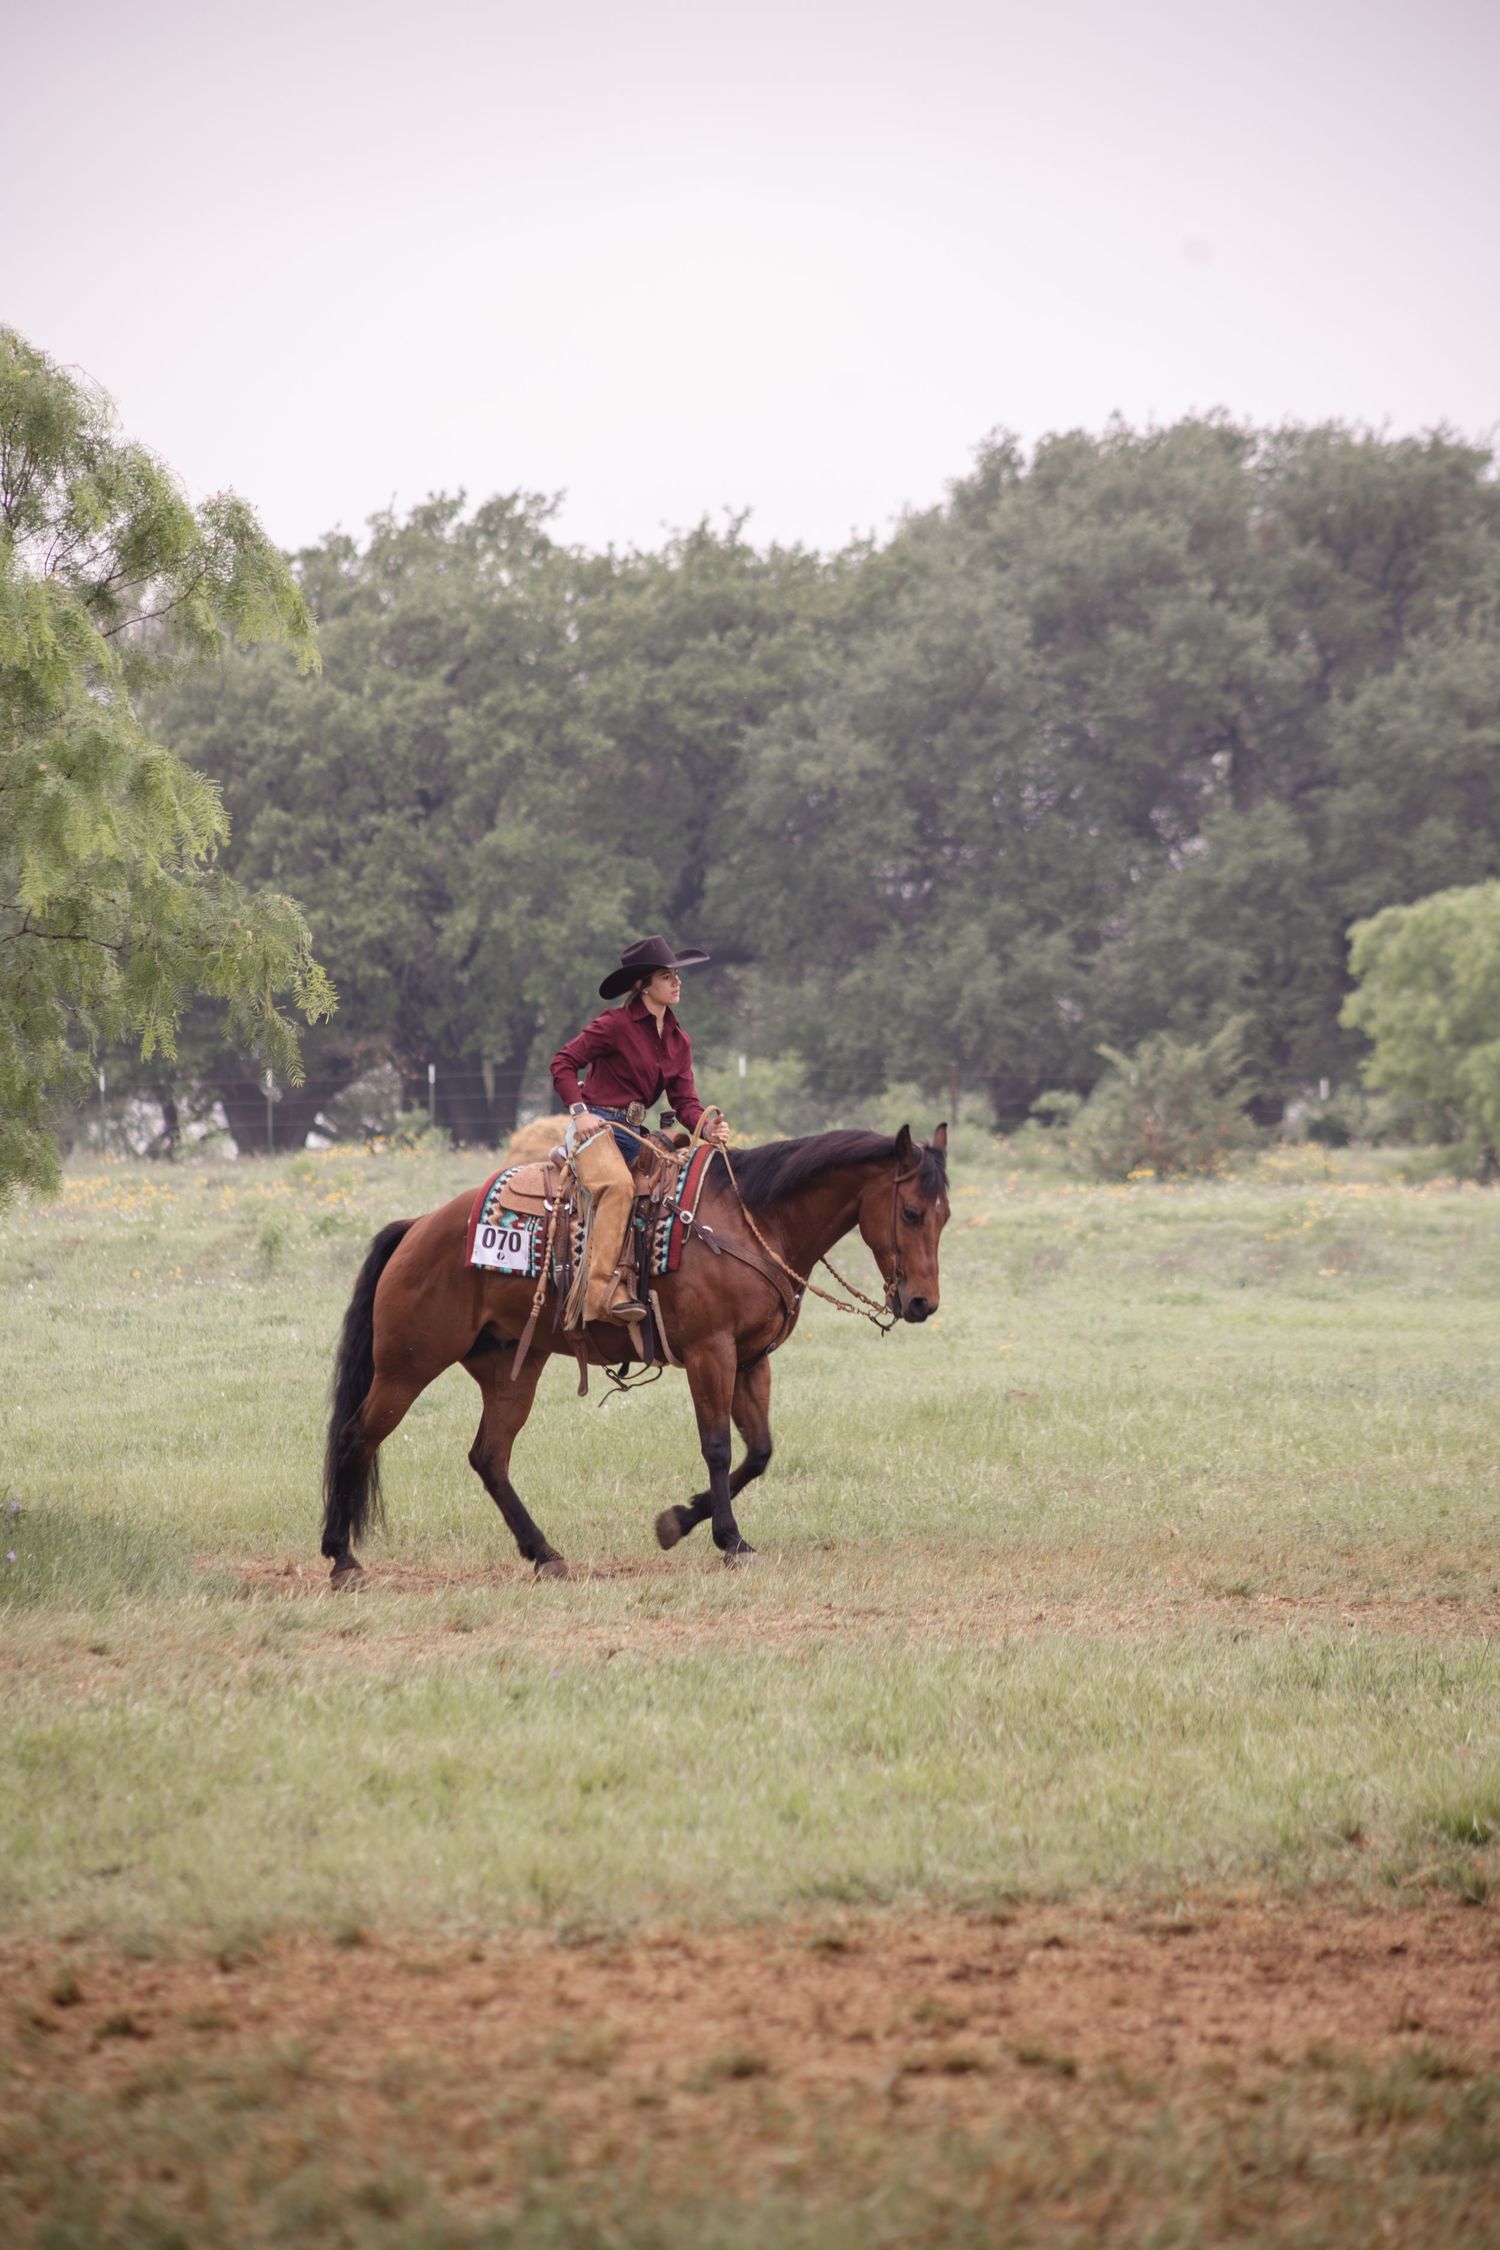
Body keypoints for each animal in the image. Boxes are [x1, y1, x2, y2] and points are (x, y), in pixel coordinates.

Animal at [321, 1124, 949, 1585]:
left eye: (943, 1215)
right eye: (911, 1212)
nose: (922, 1303)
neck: (751, 1222)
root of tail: (418, 1227)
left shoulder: (751, 1360)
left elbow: (760, 1452)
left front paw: (680, 1521)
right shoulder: (710, 1353)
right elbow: (719, 1447)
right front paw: (727, 1539)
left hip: (509, 1370)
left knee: (489, 1458)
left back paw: (545, 1553)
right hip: (407, 1366)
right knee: (356, 1438)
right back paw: (341, 1559)